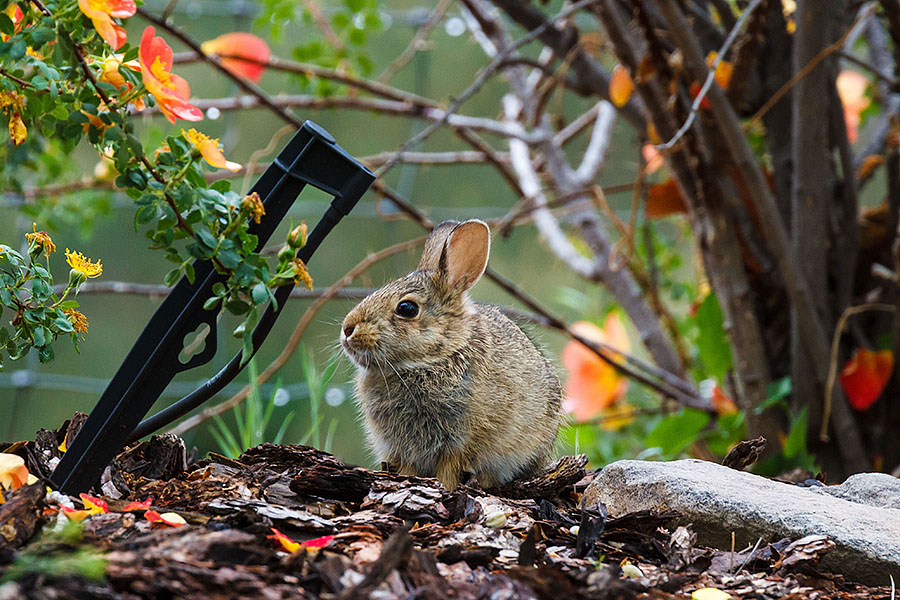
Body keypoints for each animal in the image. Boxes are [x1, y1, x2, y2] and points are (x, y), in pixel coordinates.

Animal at [340, 218, 564, 490]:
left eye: (407, 308)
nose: (347, 328)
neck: (429, 360)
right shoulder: (402, 449)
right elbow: (407, 468)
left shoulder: (462, 442)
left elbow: (449, 470)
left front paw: (445, 487)